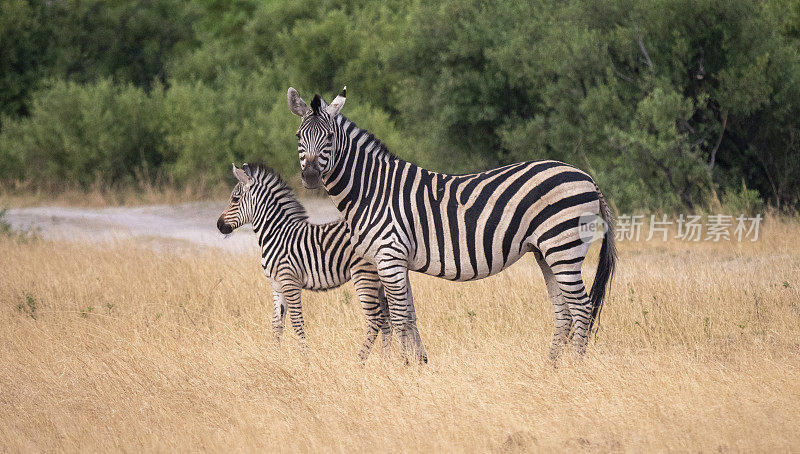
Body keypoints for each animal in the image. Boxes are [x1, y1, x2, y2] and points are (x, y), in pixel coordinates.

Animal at [217, 161, 392, 360]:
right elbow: (276, 324)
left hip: (364, 276)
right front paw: (273, 357)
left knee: (375, 318)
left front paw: (305, 359)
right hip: (377, 281)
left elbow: (296, 322)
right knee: (386, 319)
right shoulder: (277, 286)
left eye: (235, 199)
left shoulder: (290, 282)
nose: (219, 225)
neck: (276, 234)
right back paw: (385, 360)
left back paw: (359, 360)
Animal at [288, 87, 620, 364]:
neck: (372, 190)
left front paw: (401, 368)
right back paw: (551, 368)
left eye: (329, 138)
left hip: (563, 247)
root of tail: (586, 177)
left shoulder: (389, 256)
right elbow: (410, 316)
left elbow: (398, 318)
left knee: (581, 308)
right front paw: (419, 364)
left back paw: (574, 369)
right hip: (546, 251)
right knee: (564, 311)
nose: (310, 178)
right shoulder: (397, 259)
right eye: (298, 136)